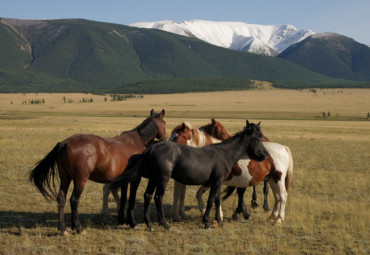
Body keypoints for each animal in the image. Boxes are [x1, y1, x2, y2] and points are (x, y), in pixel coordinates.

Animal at [28, 109, 166, 235]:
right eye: (164, 123)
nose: (165, 138)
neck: (138, 141)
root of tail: (65, 143)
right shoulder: (135, 179)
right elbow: (131, 199)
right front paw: (132, 223)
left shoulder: (124, 179)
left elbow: (123, 198)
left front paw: (122, 219)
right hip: (80, 180)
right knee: (74, 200)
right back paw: (78, 227)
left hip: (65, 178)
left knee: (61, 199)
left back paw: (63, 228)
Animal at [110, 120, 268, 230]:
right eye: (256, 138)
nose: (266, 155)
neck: (223, 153)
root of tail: (150, 149)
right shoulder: (216, 182)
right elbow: (210, 201)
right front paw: (206, 222)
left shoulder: (218, 182)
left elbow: (217, 201)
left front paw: (218, 221)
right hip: (162, 179)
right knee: (157, 198)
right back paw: (165, 225)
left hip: (153, 179)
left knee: (148, 196)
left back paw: (149, 224)